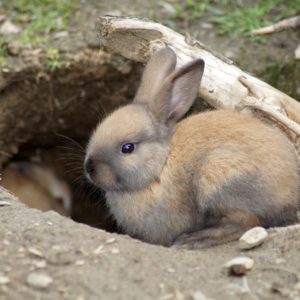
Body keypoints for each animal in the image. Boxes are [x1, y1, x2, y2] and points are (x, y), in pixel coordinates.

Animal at [83, 47, 298, 248]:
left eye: (127, 148)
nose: (90, 168)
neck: (160, 166)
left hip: (218, 175)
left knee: (247, 223)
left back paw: (195, 239)